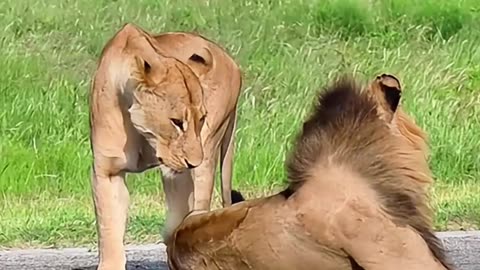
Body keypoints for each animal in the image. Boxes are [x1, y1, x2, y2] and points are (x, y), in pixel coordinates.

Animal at [88, 23, 242, 270]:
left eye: (201, 119)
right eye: (177, 122)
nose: (193, 162)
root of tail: (232, 62)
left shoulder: (178, 173)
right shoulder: (107, 171)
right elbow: (109, 229)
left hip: (208, 156)